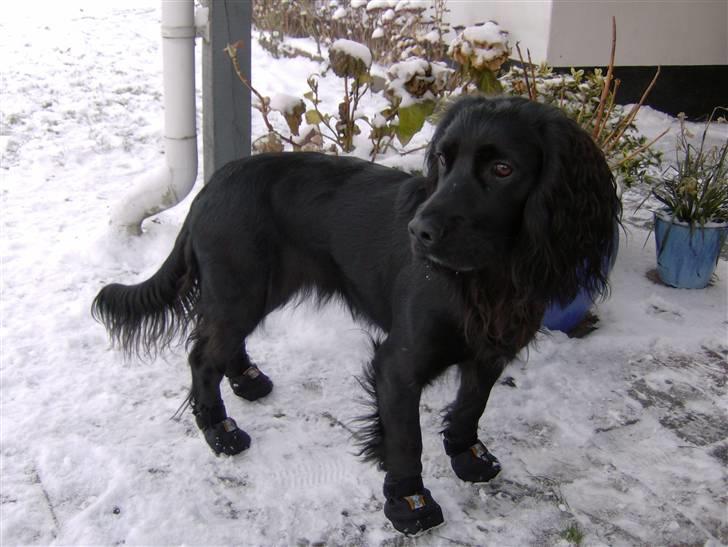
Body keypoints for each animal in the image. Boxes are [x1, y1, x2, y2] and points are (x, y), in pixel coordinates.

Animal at [92, 96, 620, 536]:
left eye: (503, 169)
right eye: (443, 160)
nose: (418, 232)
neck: (486, 278)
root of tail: (211, 185)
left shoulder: (489, 352)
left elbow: (472, 406)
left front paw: (468, 457)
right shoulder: (397, 365)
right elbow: (406, 440)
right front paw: (410, 503)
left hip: (256, 289)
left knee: (223, 342)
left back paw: (246, 378)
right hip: (240, 286)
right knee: (202, 357)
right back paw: (220, 431)